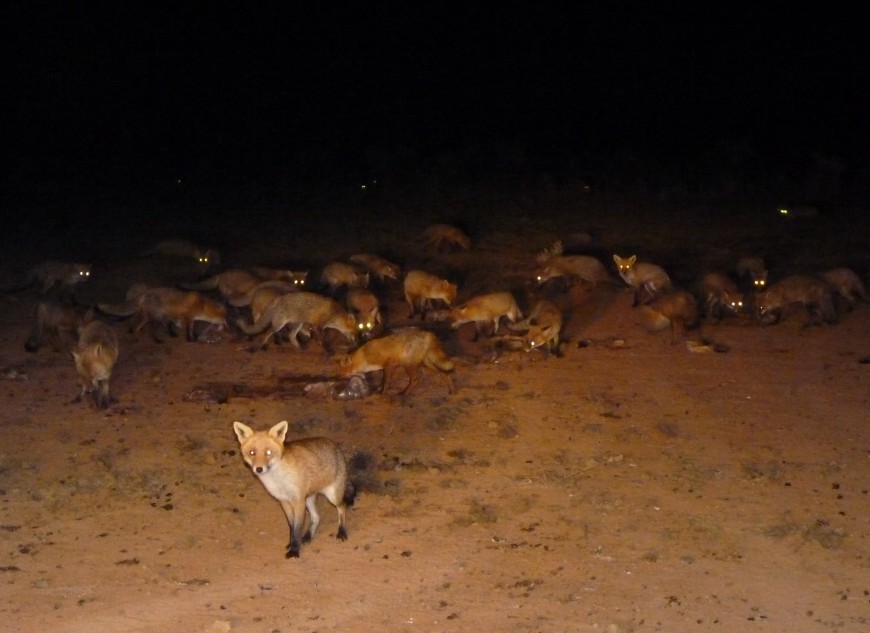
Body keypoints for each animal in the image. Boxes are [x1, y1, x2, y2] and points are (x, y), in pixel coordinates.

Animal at [233, 420, 356, 556]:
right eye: (252, 452)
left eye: (268, 453)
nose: (259, 469)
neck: (279, 480)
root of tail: (334, 445)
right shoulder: (284, 501)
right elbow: (291, 526)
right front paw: (292, 544)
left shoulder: (298, 501)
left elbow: (297, 527)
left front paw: (294, 550)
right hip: (309, 499)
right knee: (316, 517)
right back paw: (308, 536)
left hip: (332, 496)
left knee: (342, 507)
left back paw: (342, 532)